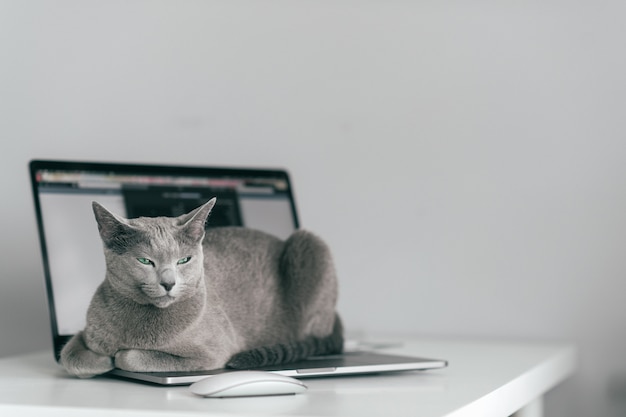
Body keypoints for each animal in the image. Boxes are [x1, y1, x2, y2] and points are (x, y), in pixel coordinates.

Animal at [58, 197, 342, 376]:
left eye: (184, 260)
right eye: (145, 261)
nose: (168, 283)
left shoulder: (213, 354)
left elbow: (130, 357)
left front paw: (113, 358)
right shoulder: (86, 332)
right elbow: (69, 356)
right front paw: (98, 358)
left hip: (310, 244)